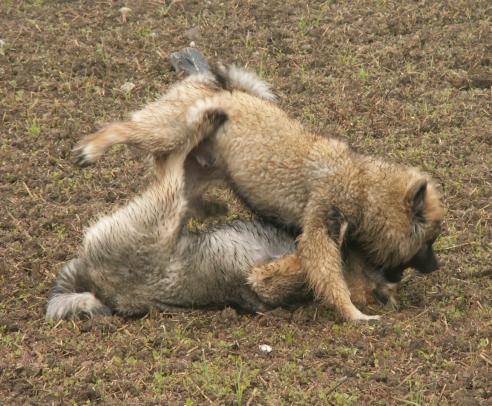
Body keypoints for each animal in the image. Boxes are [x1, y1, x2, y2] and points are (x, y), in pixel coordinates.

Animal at [74, 50, 446, 320]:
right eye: (429, 240)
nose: (436, 266)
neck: (363, 187)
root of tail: (215, 83)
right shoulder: (321, 230)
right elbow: (330, 278)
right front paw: (354, 314)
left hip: (204, 165)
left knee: (172, 174)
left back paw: (210, 205)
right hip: (168, 129)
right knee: (128, 131)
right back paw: (92, 148)